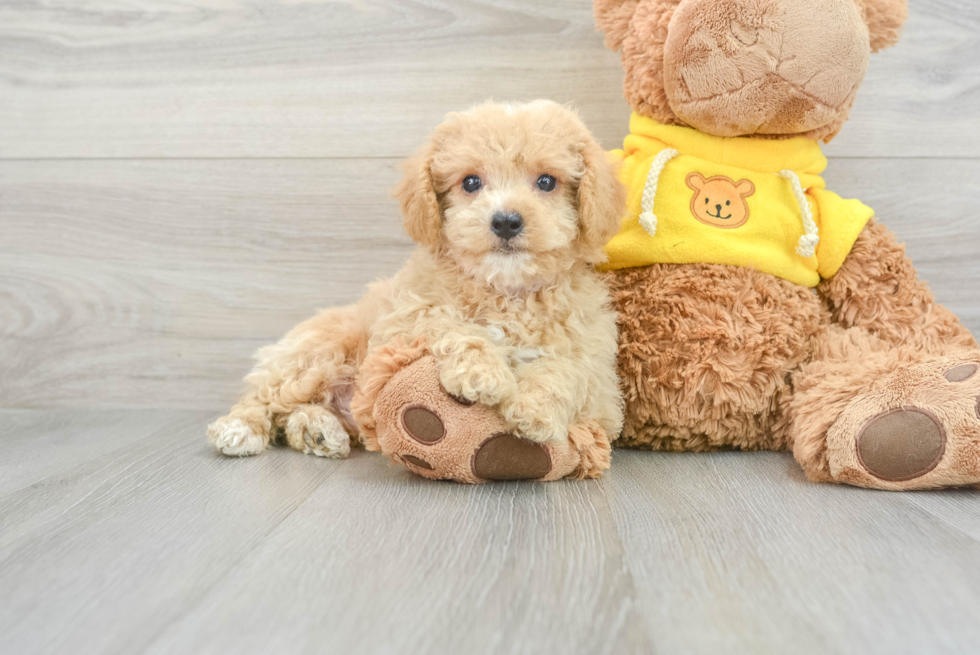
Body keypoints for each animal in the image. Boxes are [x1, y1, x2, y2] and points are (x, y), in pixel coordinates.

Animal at [207, 101, 624, 482]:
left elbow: (570, 369)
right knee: (266, 398)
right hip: (320, 353)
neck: (507, 291)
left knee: (293, 415)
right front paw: (482, 372)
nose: (506, 221)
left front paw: (535, 409)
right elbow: (448, 324)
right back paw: (240, 427)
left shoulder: (600, 377)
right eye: (470, 182)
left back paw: (317, 431)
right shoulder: (405, 318)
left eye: (547, 182)